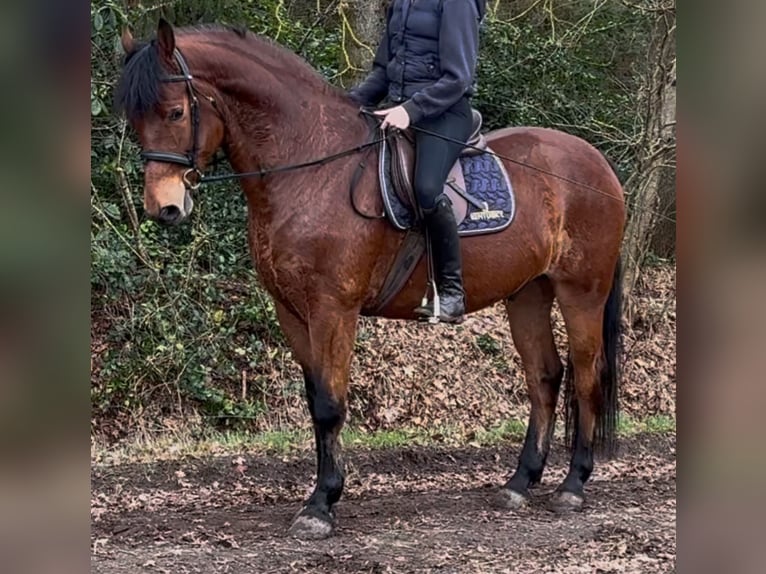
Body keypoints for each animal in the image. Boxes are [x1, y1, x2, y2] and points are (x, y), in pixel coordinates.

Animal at [117, 21, 628, 540]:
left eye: (175, 111)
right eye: (134, 119)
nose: (164, 208)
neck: (312, 165)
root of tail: (598, 165)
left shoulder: (333, 308)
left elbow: (330, 404)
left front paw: (321, 505)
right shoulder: (292, 311)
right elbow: (315, 401)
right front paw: (321, 494)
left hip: (581, 292)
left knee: (587, 376)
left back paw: (573, 486)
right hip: (527, 294)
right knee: (544, 376)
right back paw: (520, 483)